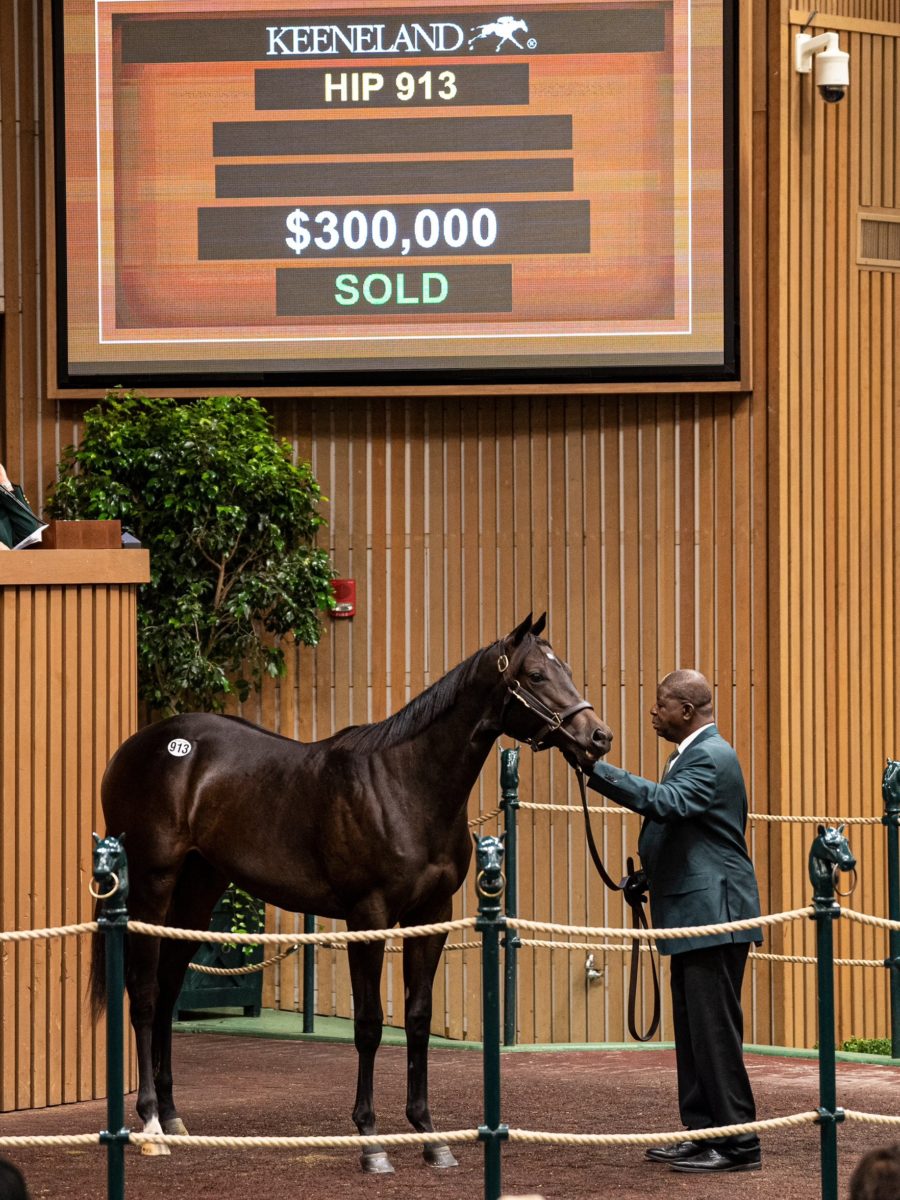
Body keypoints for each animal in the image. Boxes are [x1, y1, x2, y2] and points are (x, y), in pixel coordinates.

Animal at [91, 619, 614, 1171]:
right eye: (535, 675)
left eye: (566, 669)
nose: (598, 737)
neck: (406, 787)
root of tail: (134, 748)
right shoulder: (369, 916)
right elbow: (369, 1024)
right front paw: (370, 1139)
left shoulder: (432, 915)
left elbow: (418, 1019)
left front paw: (430, 1136)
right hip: (152, 886)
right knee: (145, 994)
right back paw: (150, 1125)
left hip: (196, 892)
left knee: (168, 991)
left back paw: (173, 1117)